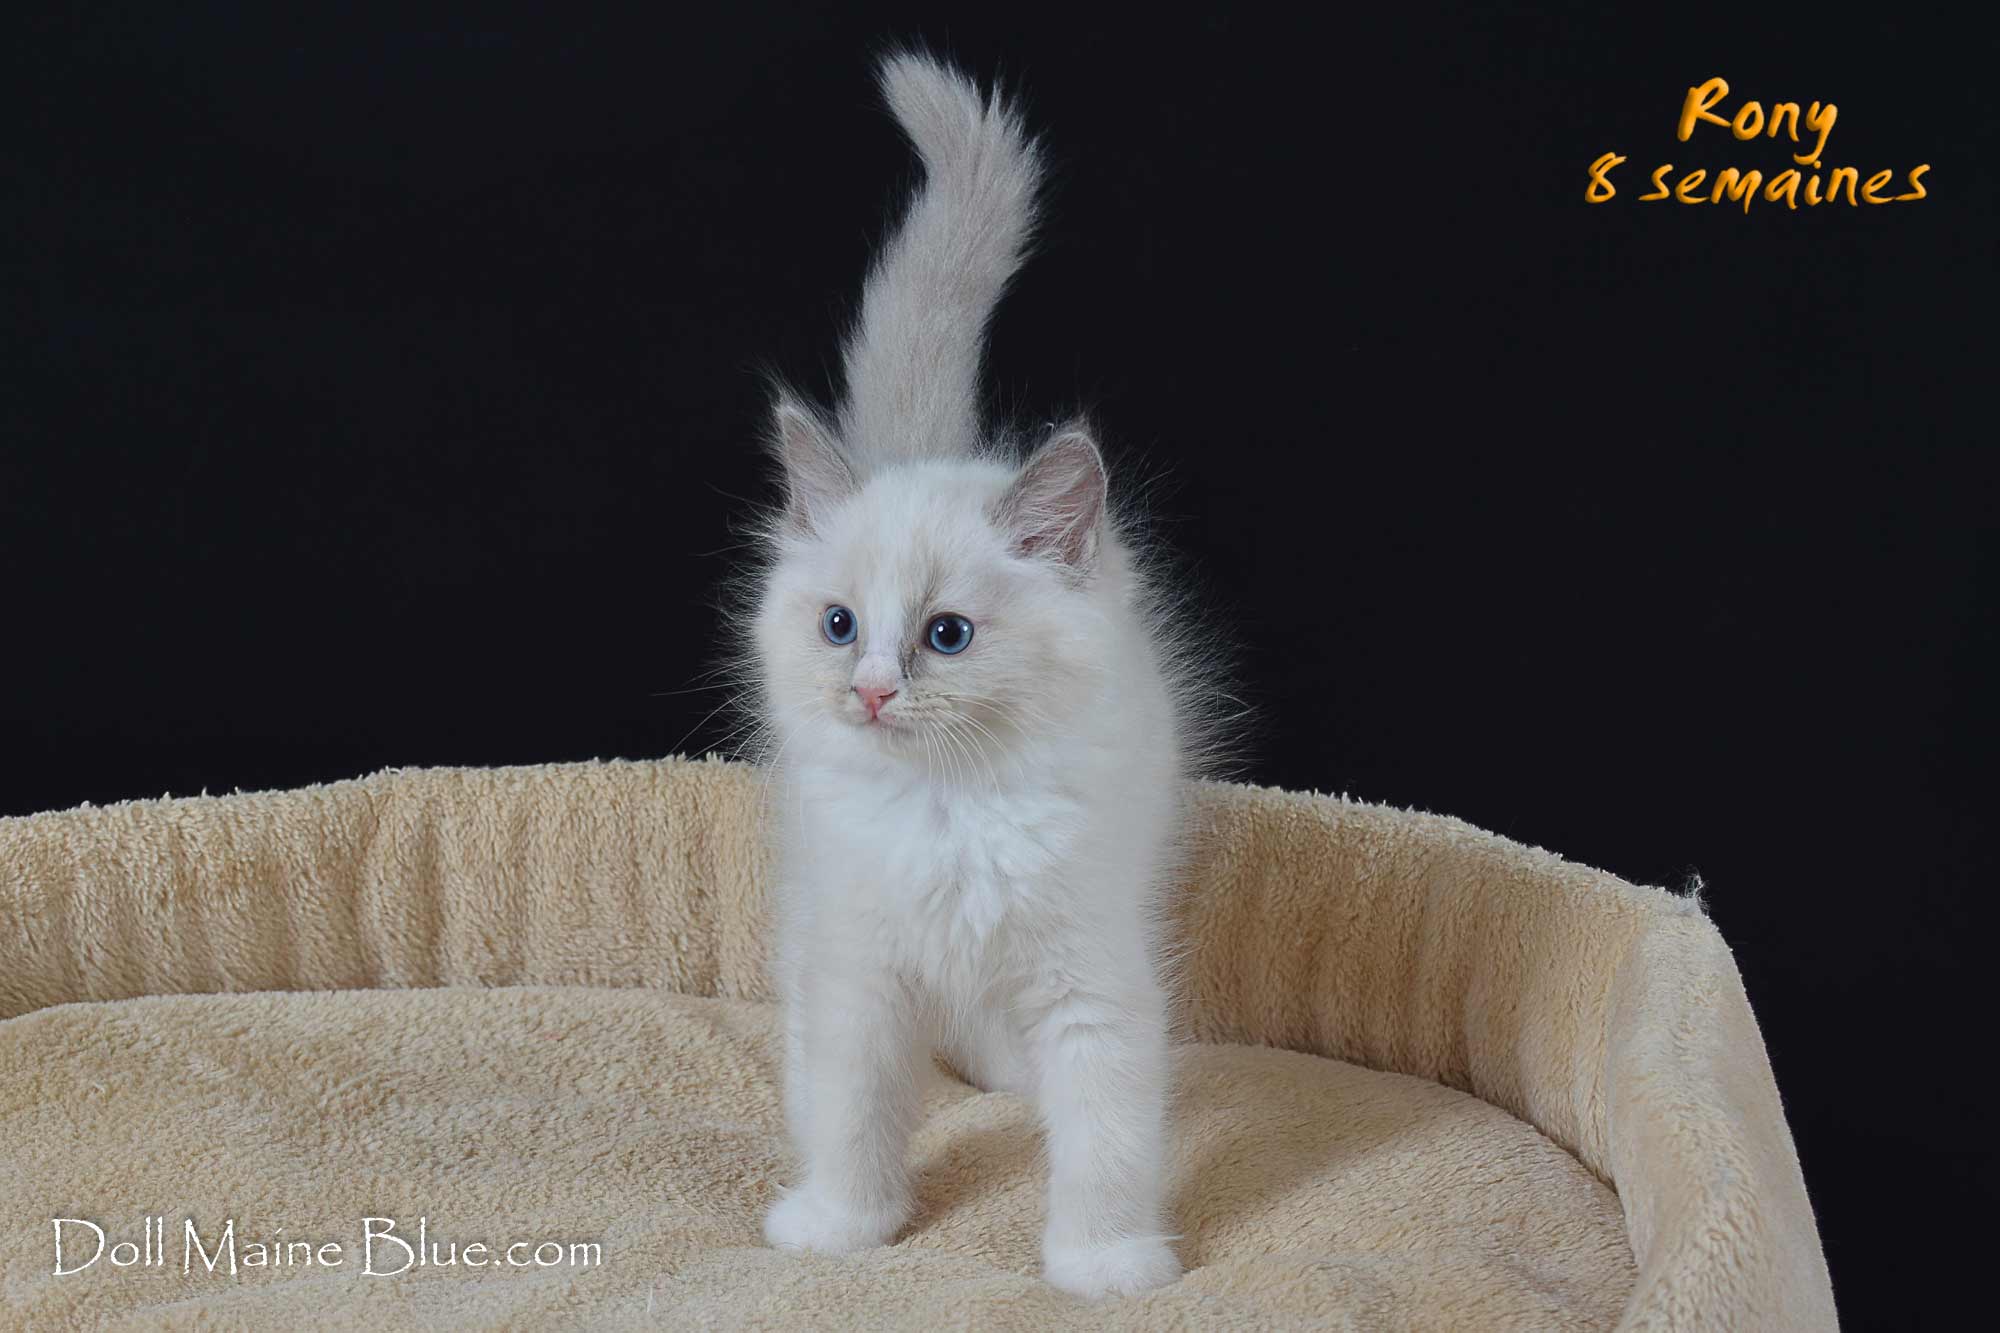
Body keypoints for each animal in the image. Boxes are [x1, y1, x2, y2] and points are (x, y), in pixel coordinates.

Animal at [739, 50, 1227, 1300]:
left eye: (946, 635)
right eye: (839, 624)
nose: (869, 690)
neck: (948, 808)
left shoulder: (1091, 975)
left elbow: (1104, 1137)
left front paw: (1103, 1265)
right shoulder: (858, 967)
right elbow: (853, 1107)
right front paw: (840, 1224)